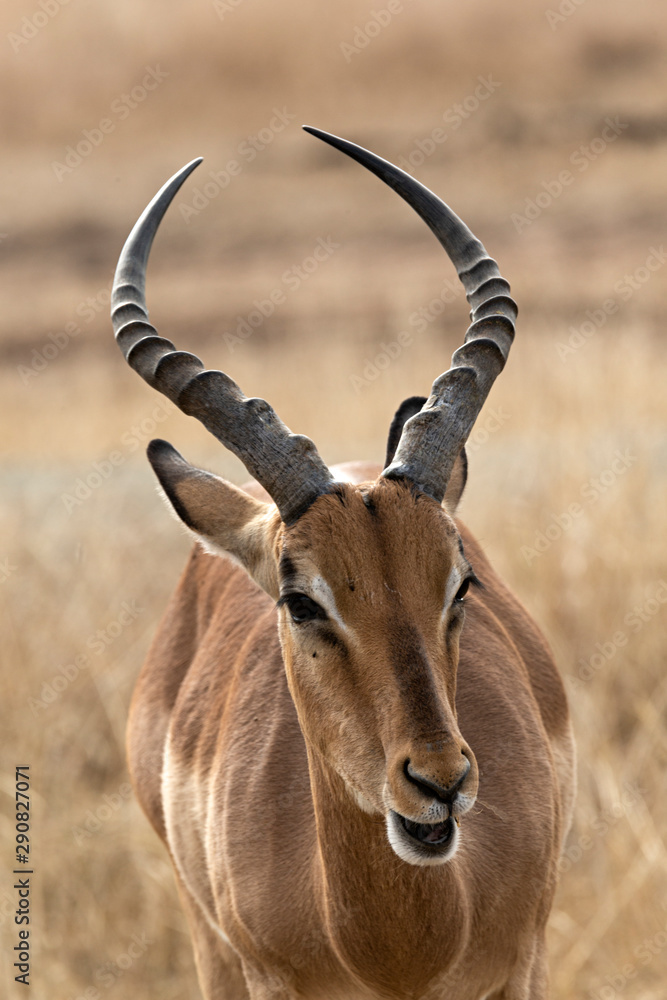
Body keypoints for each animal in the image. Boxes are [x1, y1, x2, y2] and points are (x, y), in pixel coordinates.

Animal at [112, 128, 576, 1000]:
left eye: (461, 584)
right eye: (300, 600)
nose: (440, 785)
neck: (397, 953)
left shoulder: (524, 964)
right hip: (208, 946)